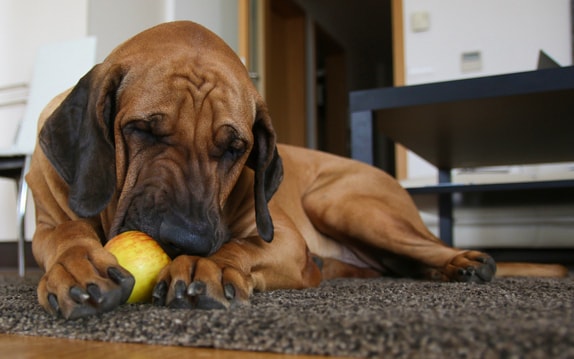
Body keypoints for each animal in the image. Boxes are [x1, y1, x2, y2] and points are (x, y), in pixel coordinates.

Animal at [25, 21, 568, 320]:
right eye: (141, 130)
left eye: (235, 148)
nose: (187, 240)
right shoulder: (49, 222)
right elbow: (67, 234)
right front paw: (77, 265)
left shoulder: (281, 237)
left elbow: (243, 245)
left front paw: (208, 264)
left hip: (340, 202)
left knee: (426, 247)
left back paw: (464, 263)